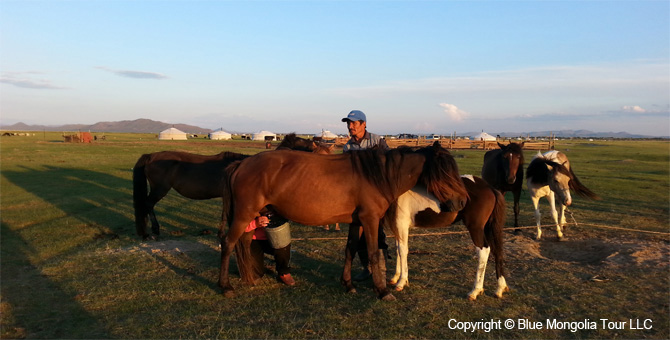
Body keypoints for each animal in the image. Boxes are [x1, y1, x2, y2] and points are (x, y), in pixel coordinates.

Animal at [132, 133, 328, 239]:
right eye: (308, 146)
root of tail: (151, 156)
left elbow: (224, 215)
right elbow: (227, 215)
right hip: (160, 189)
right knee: (147, 204)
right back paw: (152, 230)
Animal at [222, 141, 472, 300]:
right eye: (444, 172)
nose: (462, 201)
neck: (376, 176)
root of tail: (242, 164)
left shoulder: (356, 222)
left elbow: (350, 250)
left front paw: (348, 284)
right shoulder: (370, 220)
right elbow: (372, 253)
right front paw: (382, 291)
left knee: (244, 243)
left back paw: (249, 278)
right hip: (244, 215)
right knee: (228, 243)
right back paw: (225, 286)